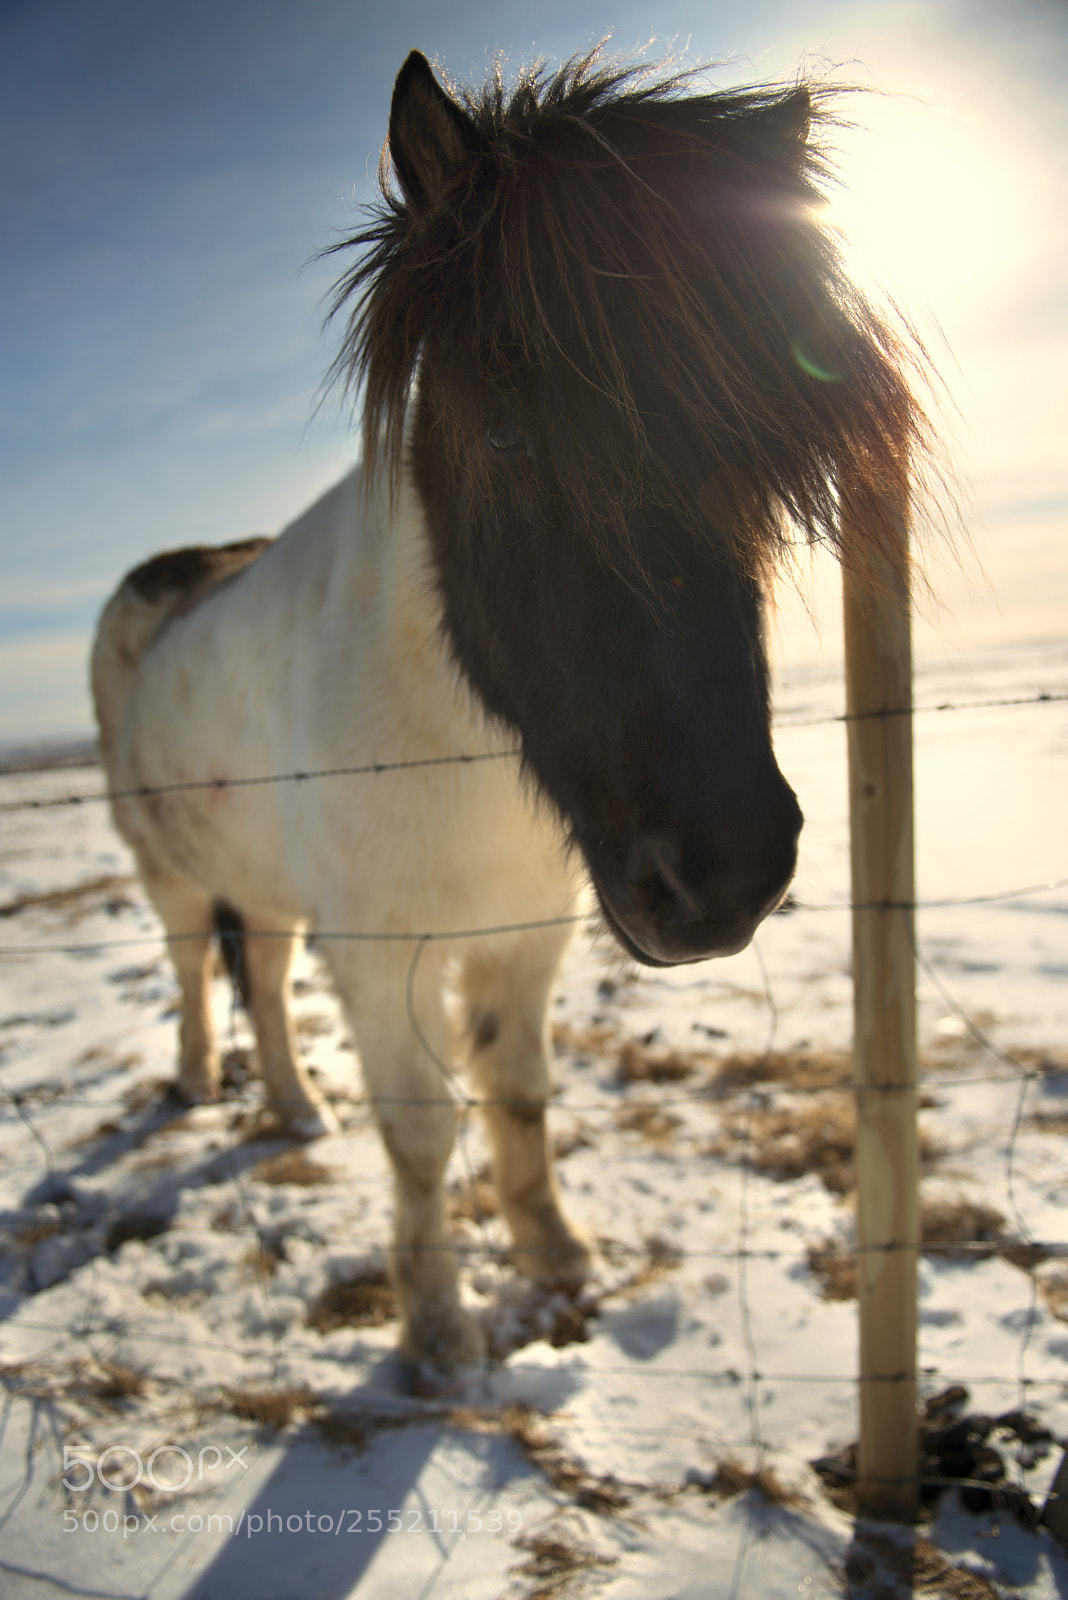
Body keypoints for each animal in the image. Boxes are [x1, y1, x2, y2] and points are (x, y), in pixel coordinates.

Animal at [91, 48, 923, 1377]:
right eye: (503, 432)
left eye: (761, 453)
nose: (725, 877)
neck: (461, 750)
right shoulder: (384, 955)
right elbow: (426, 1133)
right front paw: (439, 1329)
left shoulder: (529, 936)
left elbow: (518, 1098)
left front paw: (554, 1256)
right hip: (170, 874)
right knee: (195, 973)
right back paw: (200, 1085)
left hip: (264, 884)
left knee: (260, 975)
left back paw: (296, 1110)